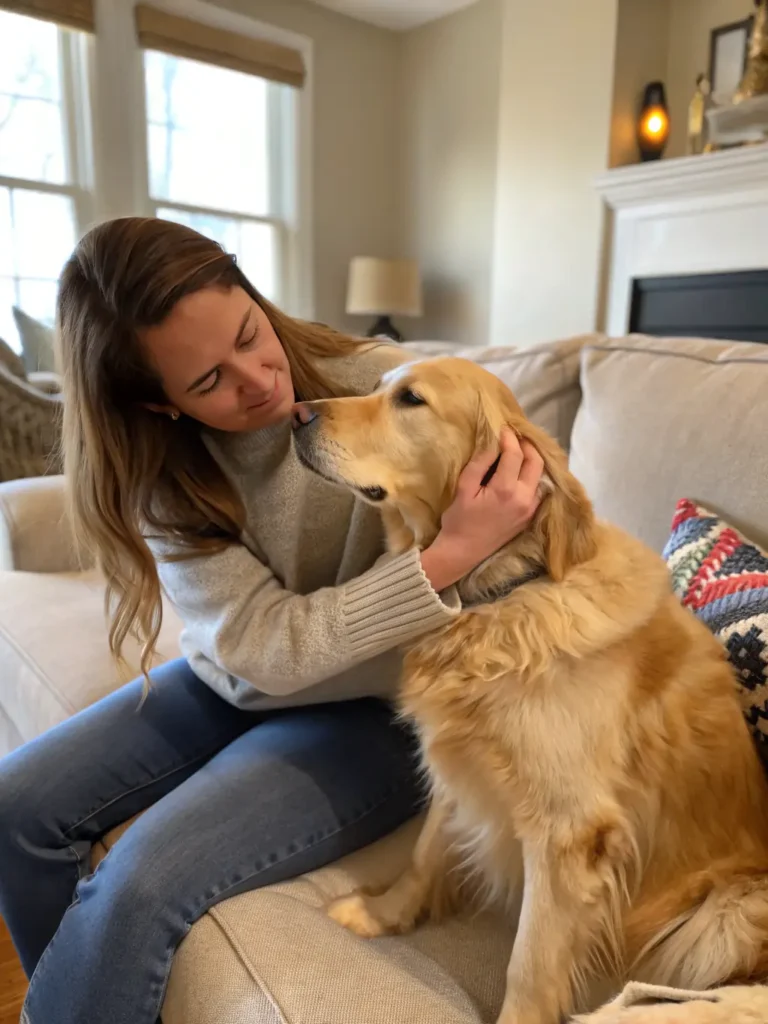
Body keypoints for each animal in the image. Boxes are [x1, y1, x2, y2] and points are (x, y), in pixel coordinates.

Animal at [292, 357, 768, 1024]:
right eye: (379, 385)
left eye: (410, 399)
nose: (295, 414)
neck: (498, 599)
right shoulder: (456, 764)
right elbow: (424, 853)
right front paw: (383, 914)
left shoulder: (568, 834)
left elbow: (531, 963)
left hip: (724, 916)